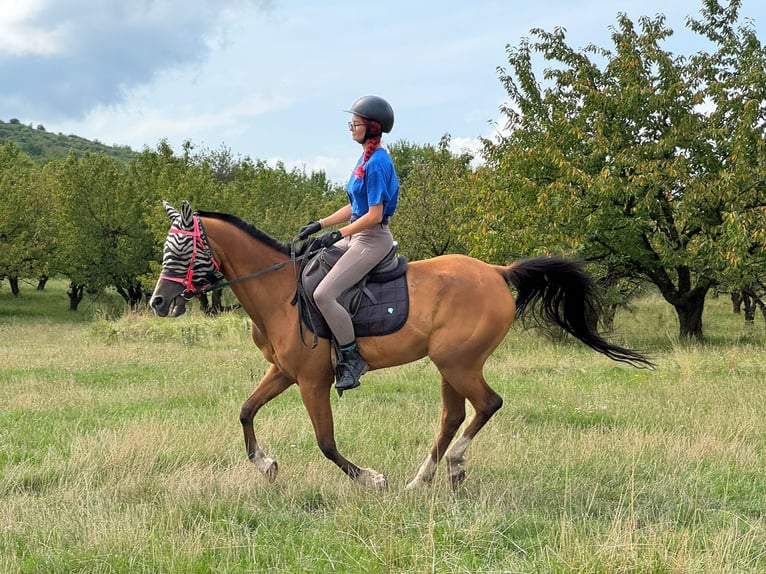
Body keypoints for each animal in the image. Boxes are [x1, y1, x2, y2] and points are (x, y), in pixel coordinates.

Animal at [150, 200, 652, 489]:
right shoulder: (284, 372)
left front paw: (372, 479)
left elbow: (326, 442)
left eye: (181, 249)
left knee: (486, 405)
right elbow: (246, 411)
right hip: (451, 366)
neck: (279, 290)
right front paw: (265, 465)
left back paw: (450, 467)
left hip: (458, 362)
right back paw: (423, 479)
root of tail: (496, 271)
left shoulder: (312, 380)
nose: (158, 301)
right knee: (453, 416)